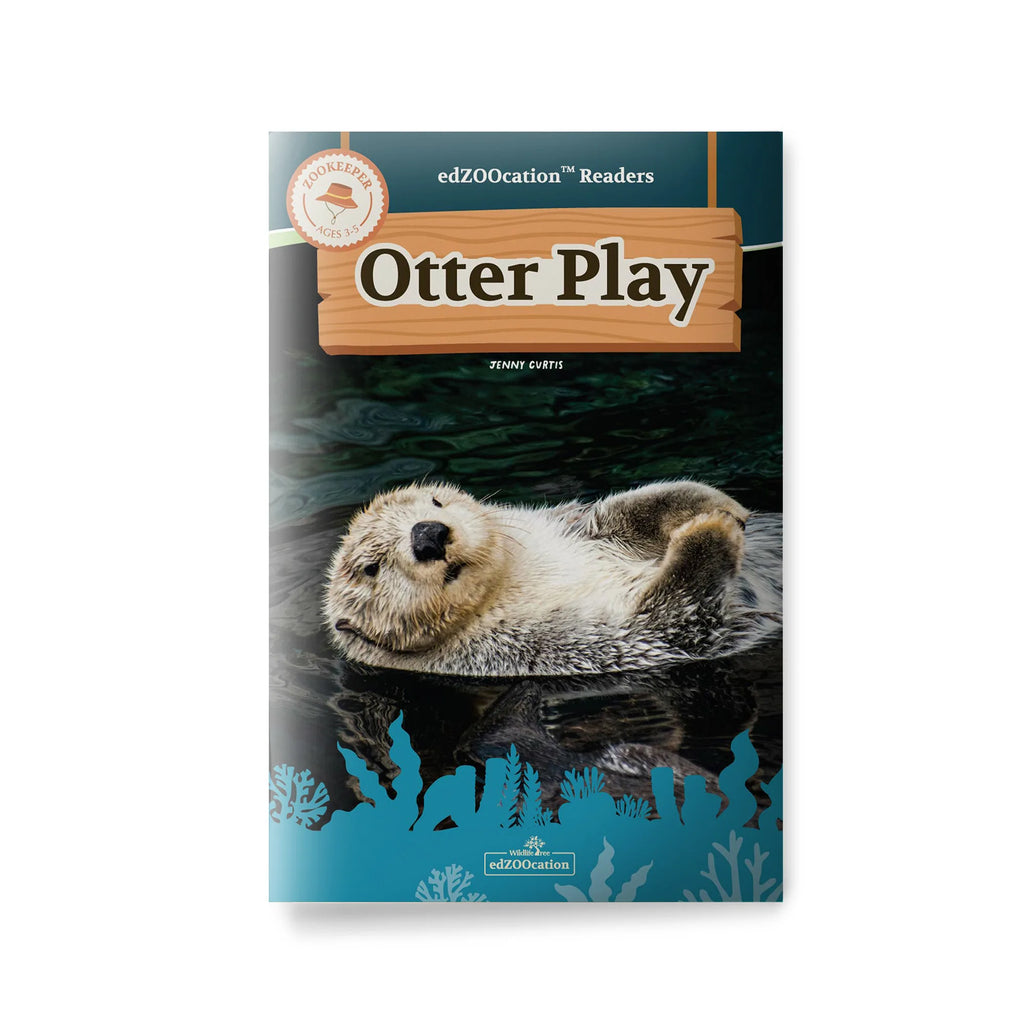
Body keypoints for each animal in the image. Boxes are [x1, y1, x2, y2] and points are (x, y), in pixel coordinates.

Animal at [324, 481, 781, 677]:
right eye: (372, 568)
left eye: (435, 502)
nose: (428, 535)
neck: (510, 582)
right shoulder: (551, 644)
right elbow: (674, 618)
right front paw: (709, 531)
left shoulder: (571, 525)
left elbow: (629, 510)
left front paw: (722, 506)